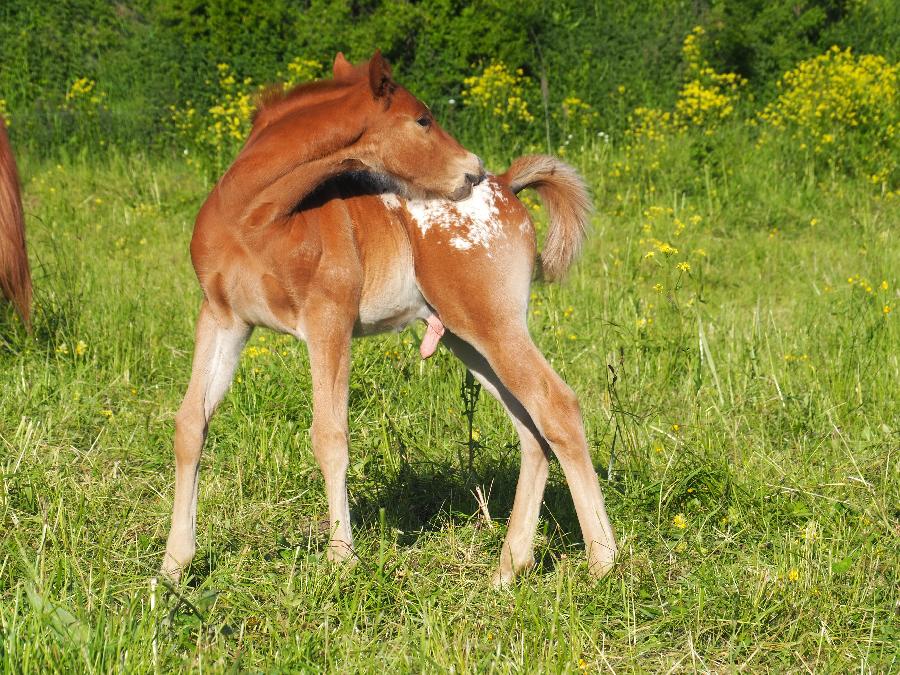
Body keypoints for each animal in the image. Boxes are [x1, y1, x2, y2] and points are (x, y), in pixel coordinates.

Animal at [161, 53, 617, 586]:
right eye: (422, 120)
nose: (471, 170)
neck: (255, 217)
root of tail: (507, 185)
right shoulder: (223, 319)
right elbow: (191, 425)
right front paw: (173, 566)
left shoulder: (328, 319)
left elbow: (330, 434)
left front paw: (341, 560)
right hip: (465, 337)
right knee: (531, 429)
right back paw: (509, 570)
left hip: (492, 323)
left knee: (556, 406)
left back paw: (603, 562)